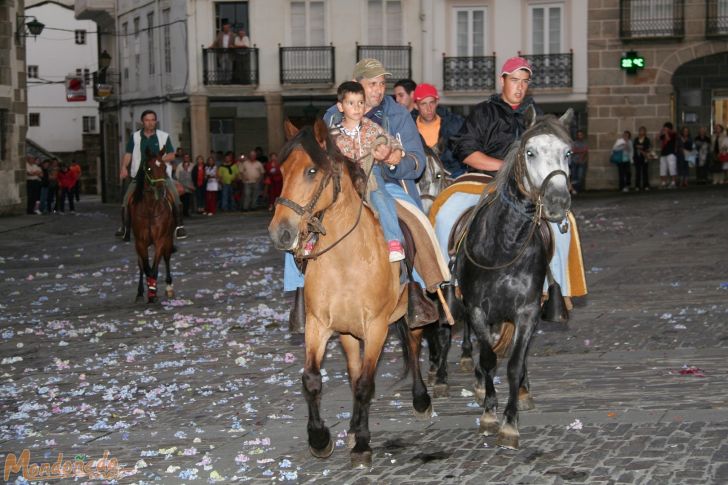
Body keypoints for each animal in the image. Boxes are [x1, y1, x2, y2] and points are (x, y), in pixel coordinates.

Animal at [129, 147, 175, 302]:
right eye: (149, 169)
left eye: (164, 167)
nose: (161, 191)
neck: (149, 209)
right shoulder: (140, 242)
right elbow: (146, 266)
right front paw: (149, 290)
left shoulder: (160, 240)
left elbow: (154, 267)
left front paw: (153, 292)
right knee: (141, 265)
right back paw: (140, 292)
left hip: (168, 238)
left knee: (166, 257)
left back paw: (168, 287)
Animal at [268, 119, 430, 466]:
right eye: (282, 170)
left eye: (312, 171)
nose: (280, 232)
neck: (346, 258)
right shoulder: (319, 325)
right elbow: (313, 378)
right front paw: (320, 438)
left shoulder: (377, 326)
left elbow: (366, 384)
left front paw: (362, 445)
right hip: (348, 332)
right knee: (354, 371)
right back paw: (354, 426)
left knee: (413, 345)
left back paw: (421, 399)